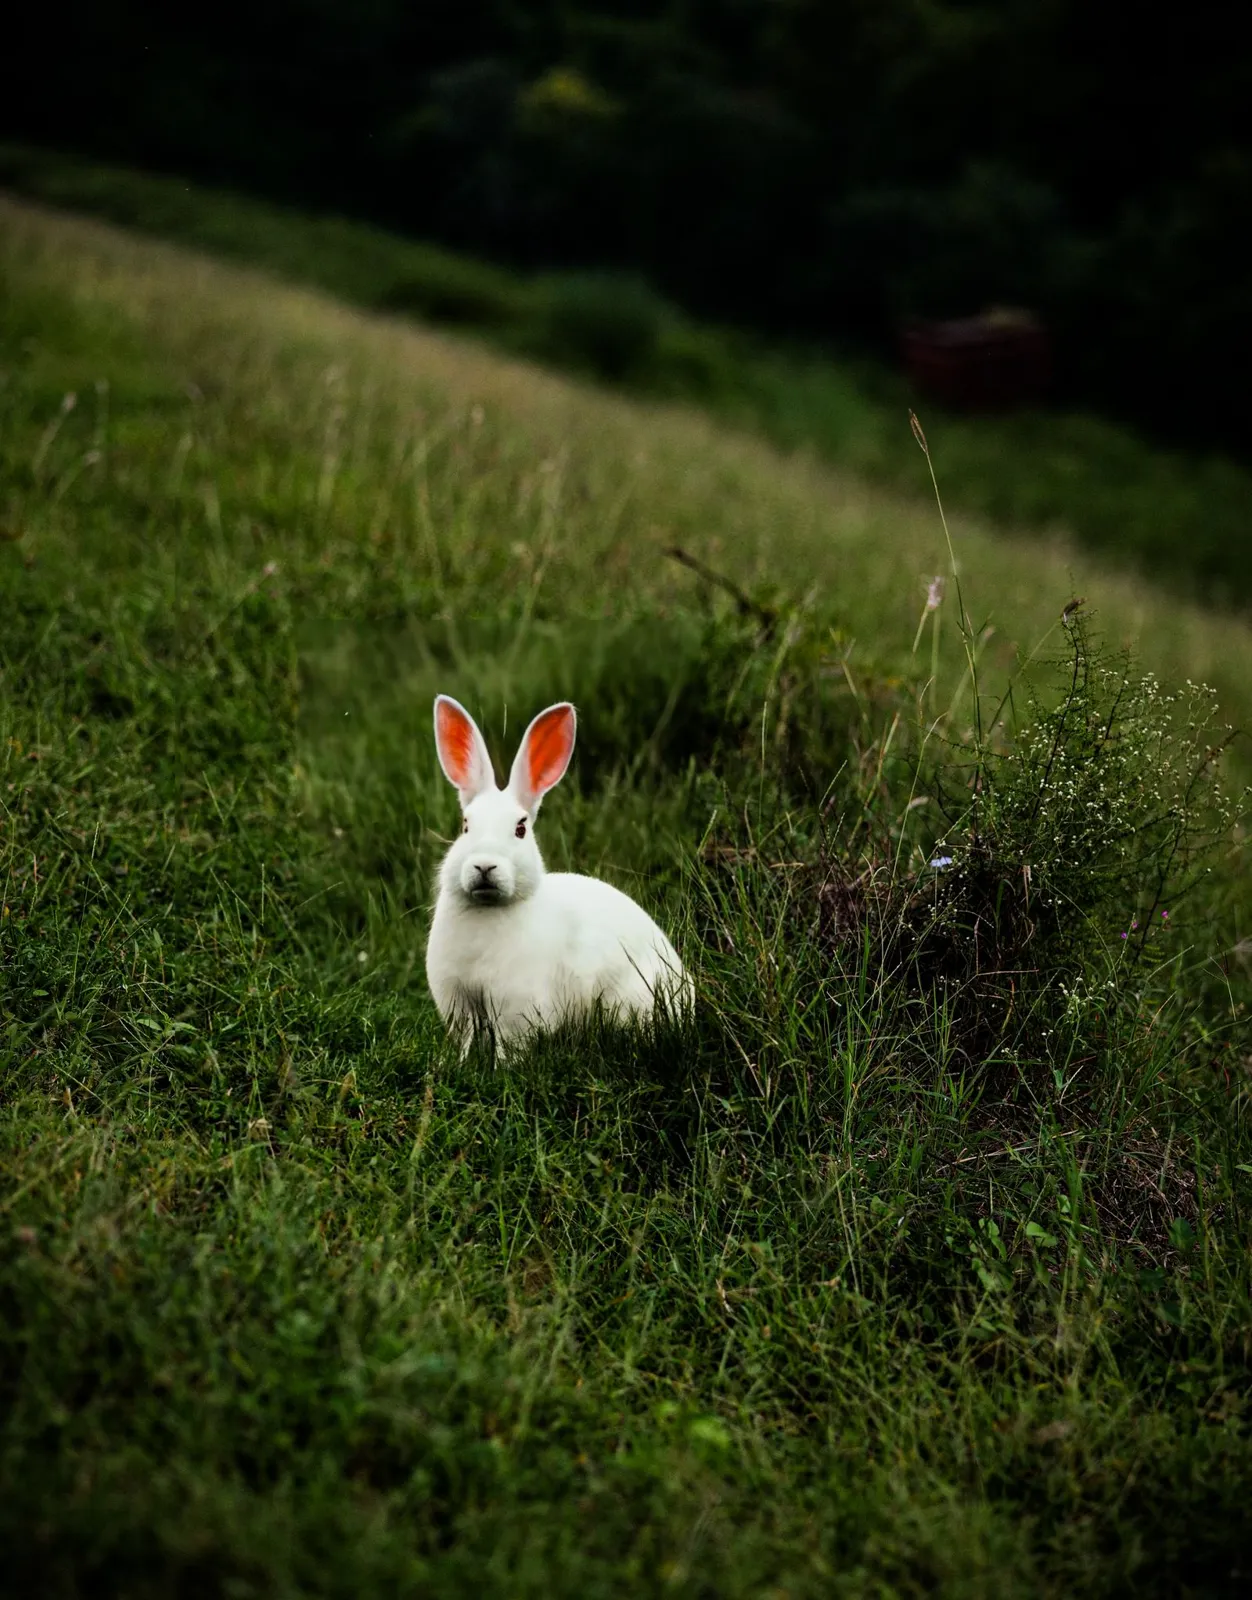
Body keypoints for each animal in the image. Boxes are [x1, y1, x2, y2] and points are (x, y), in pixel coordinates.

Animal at [425, 694, 692, 1052]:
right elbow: (468, 1041)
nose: (484, 865)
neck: (488, 909)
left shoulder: (515, 1009)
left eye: (520, 829)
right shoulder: (461, 1003)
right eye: (466, 826)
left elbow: (509, 1049)